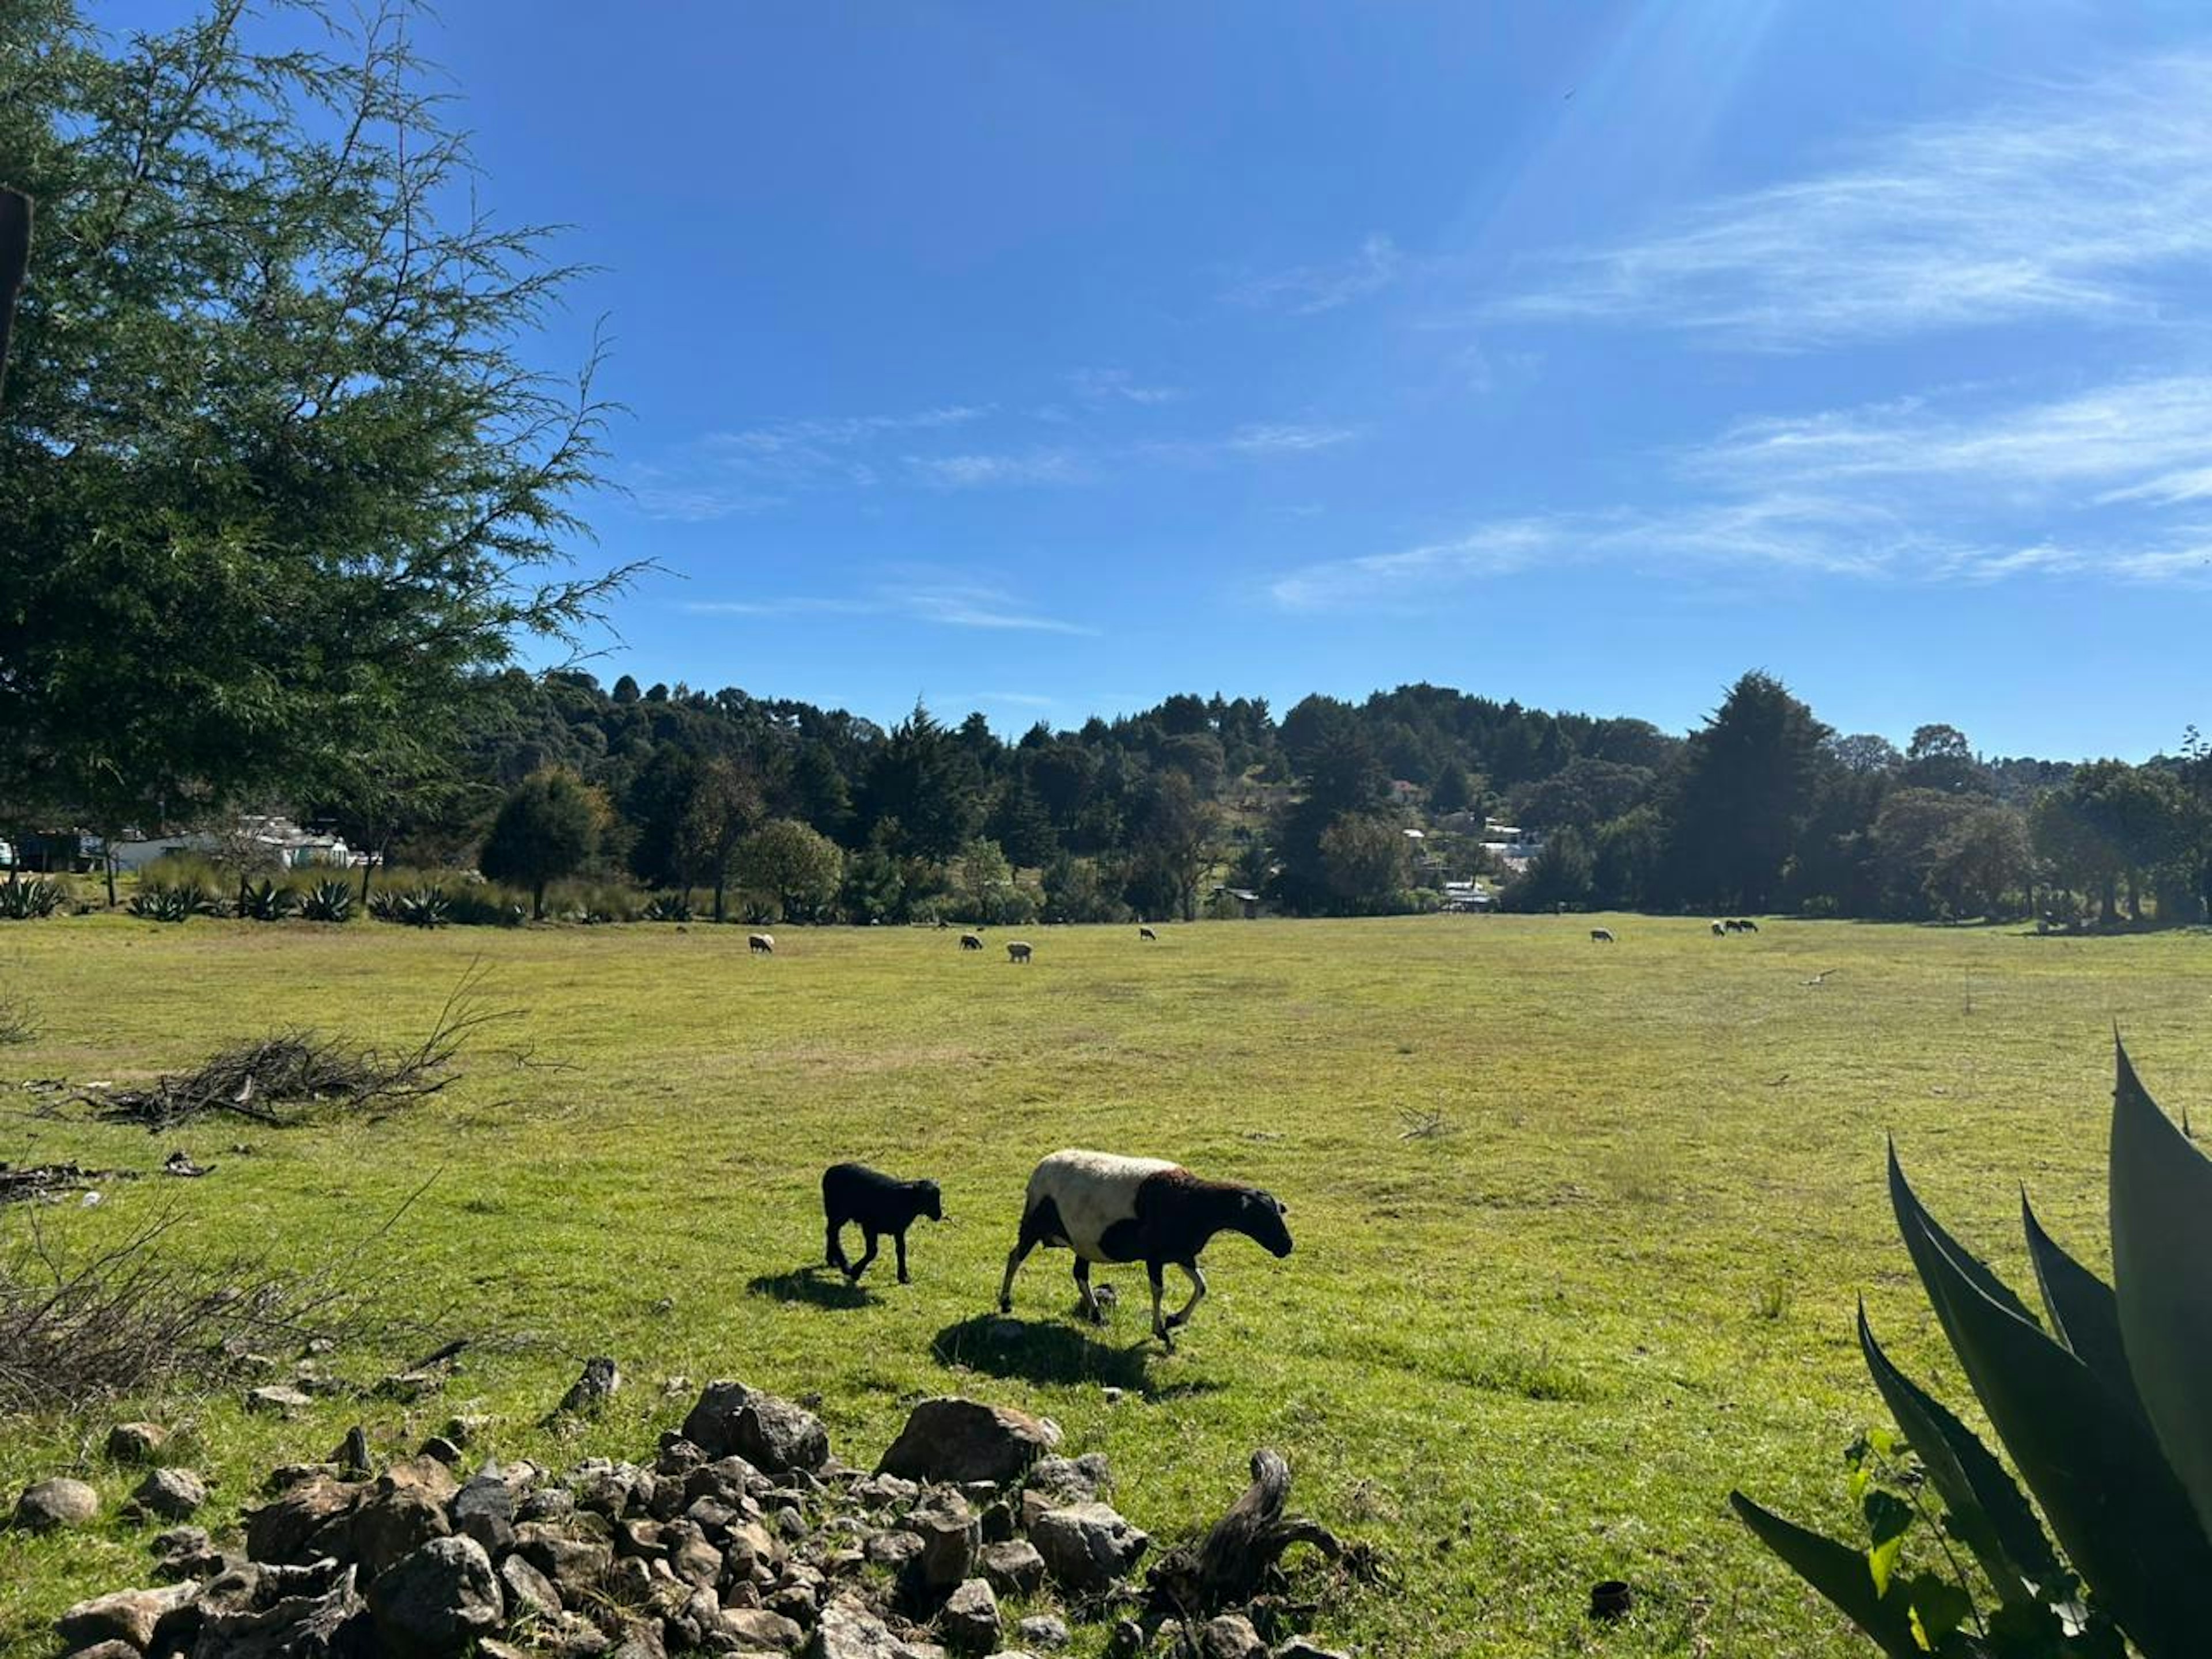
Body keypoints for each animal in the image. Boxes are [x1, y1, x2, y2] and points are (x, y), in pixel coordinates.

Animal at [823, 1159, 942, 1291]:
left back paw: (832, 1261)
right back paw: (845, 1266)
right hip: (838, 1212)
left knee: (831, 1232)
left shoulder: (899, 1230)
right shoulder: (869, 1227)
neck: (905, 1201)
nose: (939, 1215)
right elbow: (873, 1252)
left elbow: (901, 1250)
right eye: (927, 1197)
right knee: (833, 1233)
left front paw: (903, 1277)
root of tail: (832, 1170)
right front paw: (855, 1272)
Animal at [995, 1150, 1291, 1354]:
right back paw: (1006, 1302)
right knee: (1015, 1258)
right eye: (1261, 1217)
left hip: (1083, 1241)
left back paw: (1097, 1316)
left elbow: (1202, 1286)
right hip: (1033, 1224)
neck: (1194, 1203)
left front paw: (1174, 1320)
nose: (1287, 1247)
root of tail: (1042, 1164)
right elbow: (1159, 1290)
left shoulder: (1182, 1253)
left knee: (1079, 1274)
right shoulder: (1155, 1256)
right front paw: (1162, 1332)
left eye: (1278, 1213)